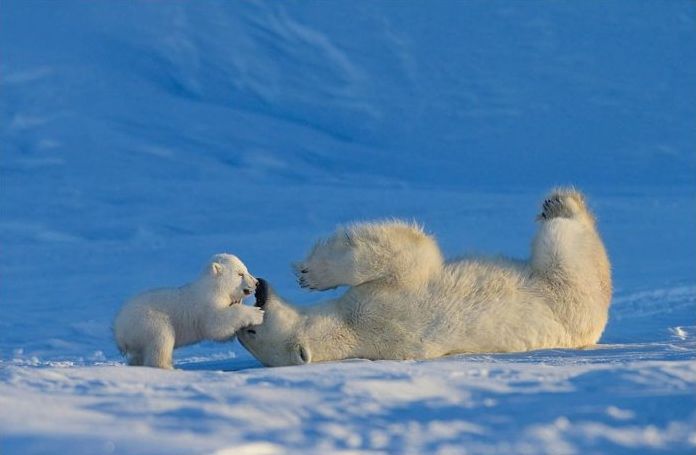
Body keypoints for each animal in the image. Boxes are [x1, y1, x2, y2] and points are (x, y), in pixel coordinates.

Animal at [238, 189, 608, 366]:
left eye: (250, 331)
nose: (260, 288)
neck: (351, 332)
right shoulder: (383, 310)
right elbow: (407, 255)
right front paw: (310, 273)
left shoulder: (381, 306)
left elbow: (404, 256)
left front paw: (310, 274)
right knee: (564, 244)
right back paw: (562, 205)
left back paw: (560, 204)